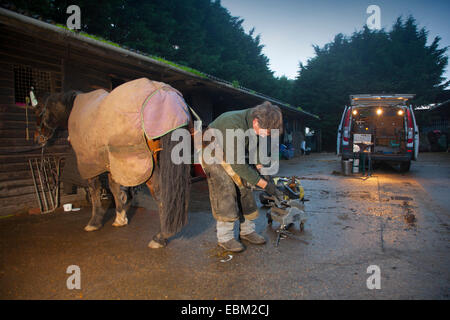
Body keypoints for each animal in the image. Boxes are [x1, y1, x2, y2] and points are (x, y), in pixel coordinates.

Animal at [33, 77, 192, 248]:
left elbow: (94, 190)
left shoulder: (89, 163)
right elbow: (114, 188)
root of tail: (166, 95)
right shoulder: (112, 163)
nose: (37, 138)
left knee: (161, 194)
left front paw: (94, 222)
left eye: (38, 111)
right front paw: (120, 218)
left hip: (147, 166)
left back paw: (160, 237)